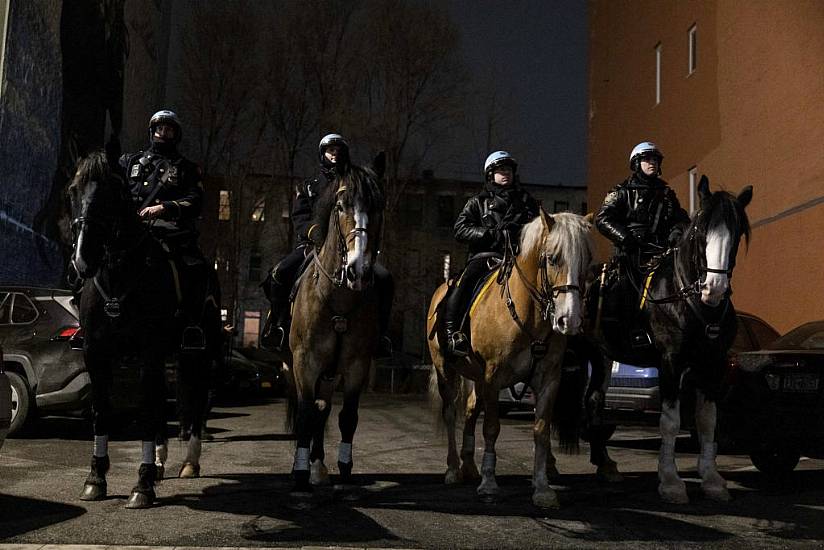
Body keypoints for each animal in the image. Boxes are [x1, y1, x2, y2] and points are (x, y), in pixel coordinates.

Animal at [70, 152, 222, 512]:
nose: (82, 260)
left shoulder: (148, 352)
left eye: (112, 192)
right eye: (73, 190)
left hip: (199, 354)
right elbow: (102, 410)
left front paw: (142, 484)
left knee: (196, 402)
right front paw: (96, 478)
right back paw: (161, 462)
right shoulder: (97, 354)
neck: (118, 277)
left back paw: (189, 462)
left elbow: (148, 411)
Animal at [284, 155, 384, 496]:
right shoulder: (305, 362)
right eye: (341, 205)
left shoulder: (356, 365)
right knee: (310, 409)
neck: (337, 298)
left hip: (329, 374)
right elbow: (304, 414)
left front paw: (343, 468)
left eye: (378, 205)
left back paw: (319, 465)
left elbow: (347, 417)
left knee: (323, 408)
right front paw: (300, 474)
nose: (358, 270)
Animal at [424, 210, 592, 508]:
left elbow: (541, 430)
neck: (529, 315)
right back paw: (453, 469)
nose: (569, 320)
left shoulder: (548, 379)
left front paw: (542, 487)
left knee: (470, 409)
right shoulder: (494, 376)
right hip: (446, 370)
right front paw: (489, 484)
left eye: (588, 259)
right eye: (553, 258)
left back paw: (469, 466)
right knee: (451, 412)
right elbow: (491, 428)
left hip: (476, 378)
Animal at [592, 176, 752, 504]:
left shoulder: (712, 365)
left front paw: (712, 480)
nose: (714, 288)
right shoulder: (670, 362)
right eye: (702, 230)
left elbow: (708, 421)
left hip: (600, 358)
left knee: (594, 405)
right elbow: (670, 422)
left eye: (738, 232)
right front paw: (670, 482)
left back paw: (604, 465)